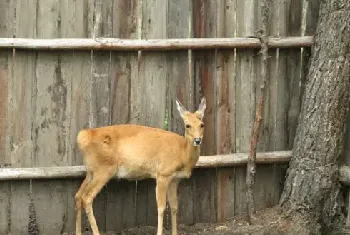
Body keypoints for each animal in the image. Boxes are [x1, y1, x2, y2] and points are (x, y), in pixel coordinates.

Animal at [74, 97, 205, 235]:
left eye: (202, 124)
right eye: (187, 125)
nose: (197, 140)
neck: (182, 153)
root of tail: (83, 137)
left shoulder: (175, 179)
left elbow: (174, 207)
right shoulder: (162, 174)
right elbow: (161, 207)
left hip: (91, 170)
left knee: (78, 195)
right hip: (103, 170)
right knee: (87, 197)